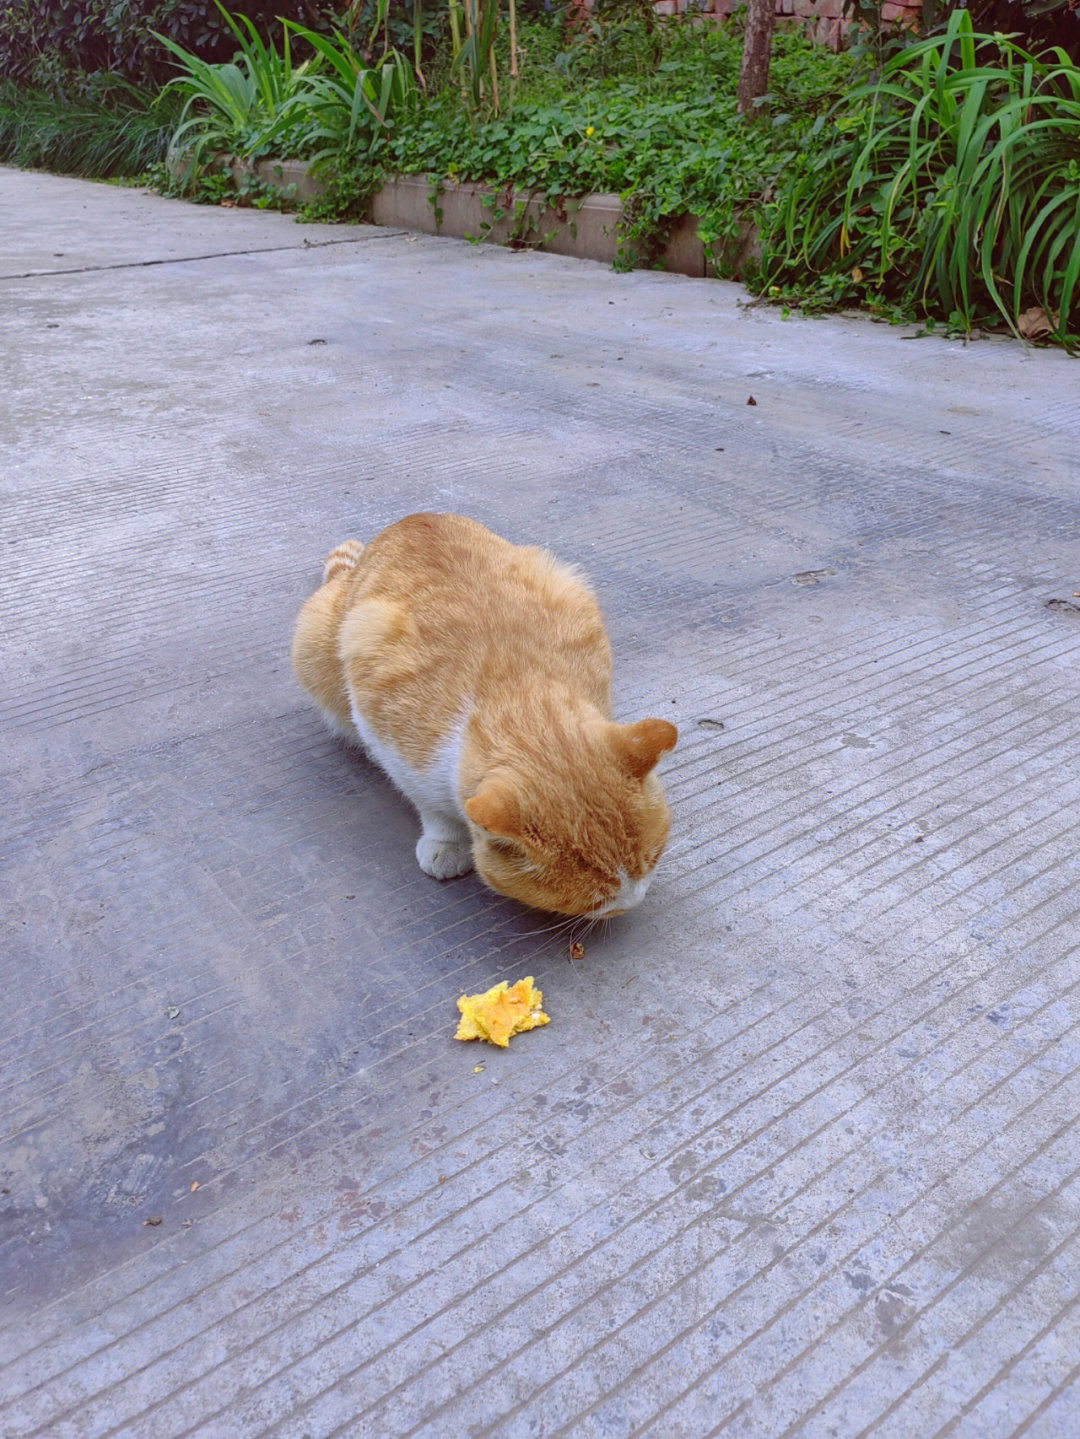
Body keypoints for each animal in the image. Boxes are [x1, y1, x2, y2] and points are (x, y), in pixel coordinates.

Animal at [289, 518, 675, 915]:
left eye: (653, 856)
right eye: (596, 900)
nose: (635, 900)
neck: (515, 691)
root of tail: (408, 520)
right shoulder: (390, 740)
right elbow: (431, 805)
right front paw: (447, 841)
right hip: (318, 645)